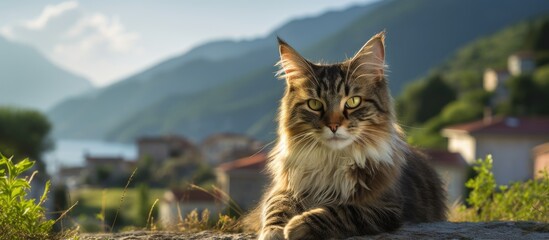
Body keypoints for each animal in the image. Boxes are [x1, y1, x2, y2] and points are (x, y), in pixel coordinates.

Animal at [244, 31, 446, 240]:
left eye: (353, 102)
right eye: (314, 104)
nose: (333, 125)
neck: (332, 160)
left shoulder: (385, 207)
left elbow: (341, 210)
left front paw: (298, 225)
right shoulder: (282, 188)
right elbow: (276, 207)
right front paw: (274, 232)